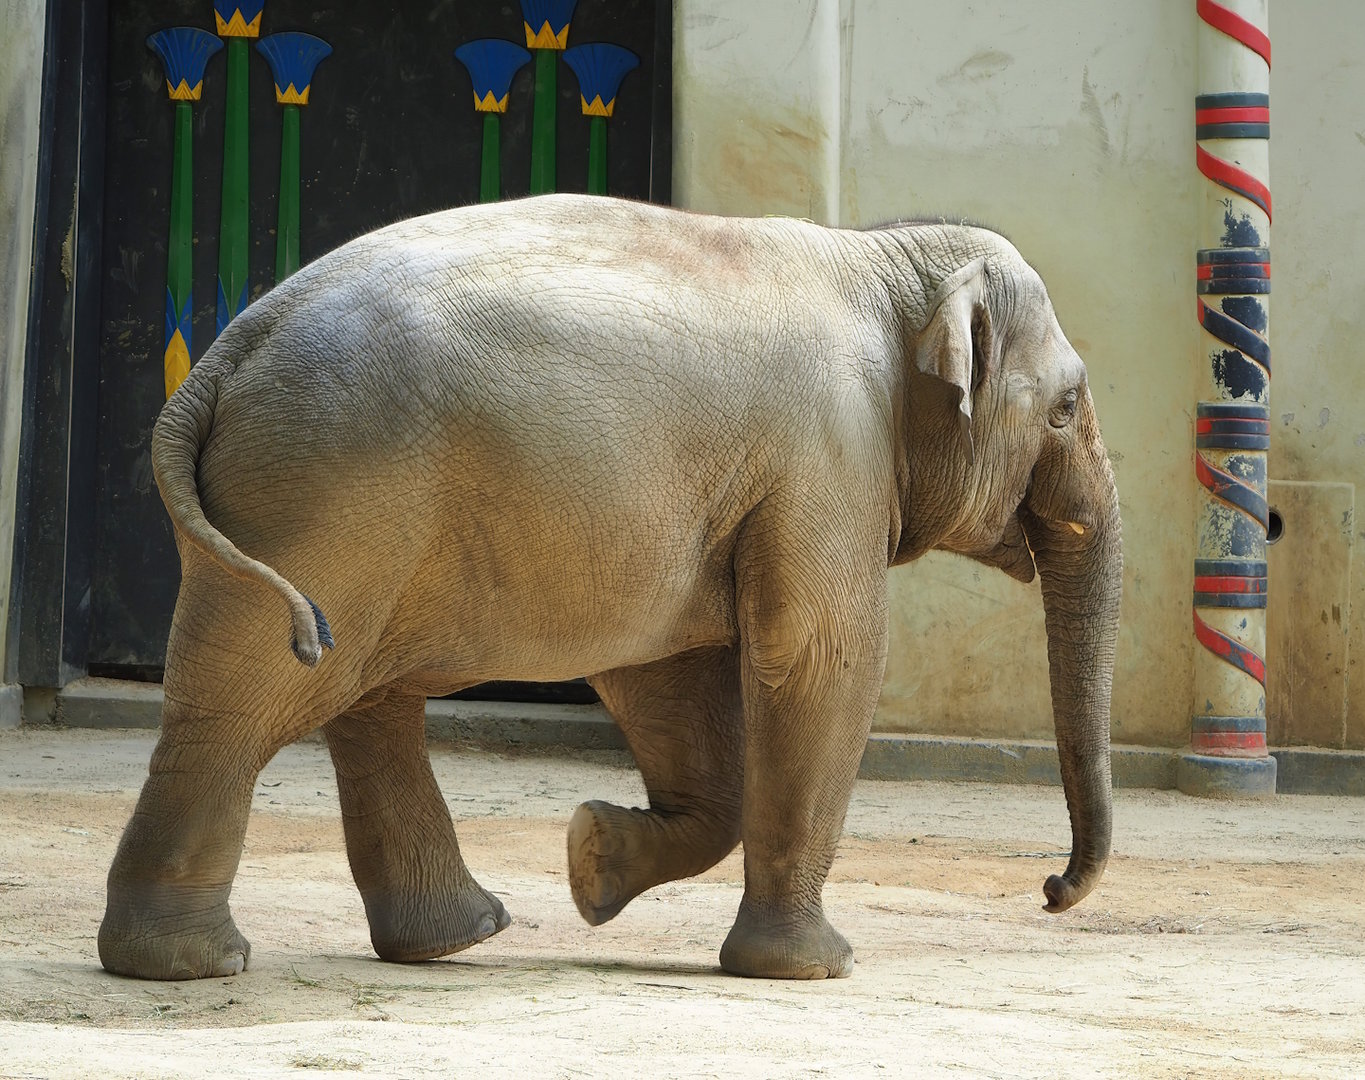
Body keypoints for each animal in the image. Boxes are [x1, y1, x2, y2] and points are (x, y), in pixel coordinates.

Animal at [98, 193, 1121, 982]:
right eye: (1066, 406)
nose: (1049, 891)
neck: (883, 259)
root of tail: (226, 353)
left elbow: (669, 676)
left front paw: (590, 861)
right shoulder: (828, 458)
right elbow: (819, 656)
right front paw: (814, 969)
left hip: (335, 509)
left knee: (361, 701)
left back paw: (452, 939)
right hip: (327, 498)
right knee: (247, 706)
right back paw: (195, 966)